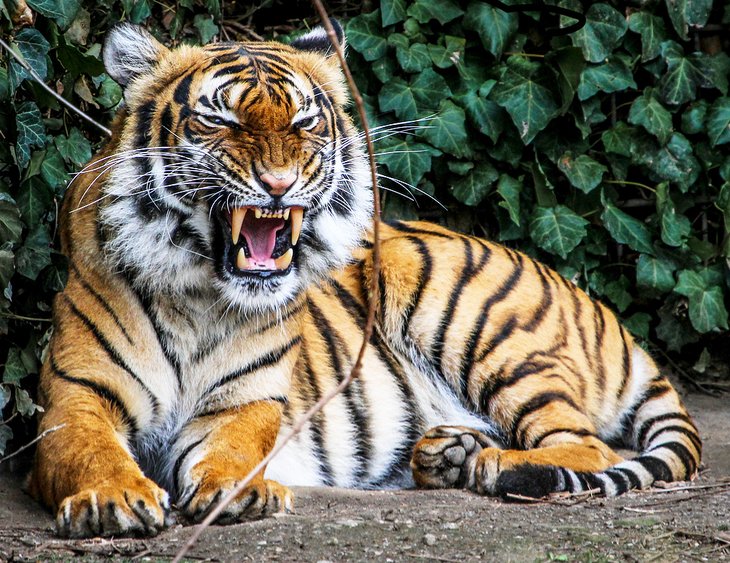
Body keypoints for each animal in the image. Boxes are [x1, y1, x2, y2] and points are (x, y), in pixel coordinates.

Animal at [29, 20, 700, 540]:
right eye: (219, 121)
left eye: (304, 123)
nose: (279, 183)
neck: (200, 297)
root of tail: (591, 302)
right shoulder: (75, 399)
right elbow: (88, 449)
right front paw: (111, 498)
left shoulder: (248, 403)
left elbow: (234, 451)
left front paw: (239, 491)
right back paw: (451, 455)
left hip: (489, 335)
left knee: (590, 446)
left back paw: (496, 467)